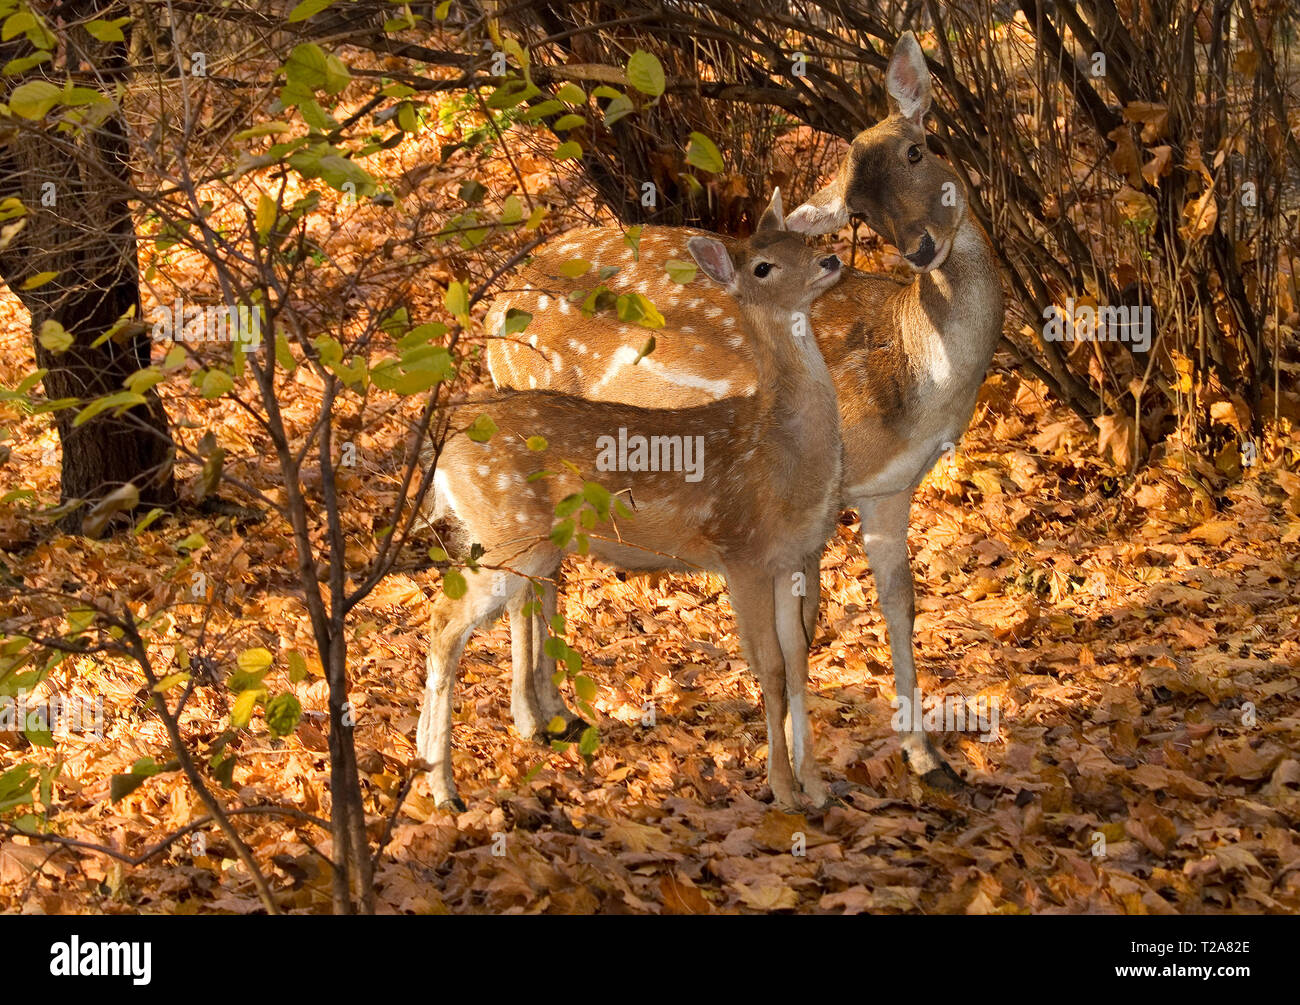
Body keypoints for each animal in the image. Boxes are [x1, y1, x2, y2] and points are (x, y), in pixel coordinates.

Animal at [418, 192, 842, 811]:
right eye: (763, 266)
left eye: (802, 241)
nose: (831, 261)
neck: (781, 453)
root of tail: (445, 458)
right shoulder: (741, 549)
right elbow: (767, 666)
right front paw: (783, 791)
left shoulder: (794, 556)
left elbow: (798, 660)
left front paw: (815, 784)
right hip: (509, 533)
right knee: (446, 623)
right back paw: (443, 787)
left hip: (522, 542)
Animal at [483, 31, 998, 790]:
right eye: (859, 208)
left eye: (918, 148)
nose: (923, 246)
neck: (916, 375)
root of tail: (490, 311)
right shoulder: (809, 503)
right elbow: (804, 631)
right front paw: (804, 776)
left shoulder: (889, 489)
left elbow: (901, 606)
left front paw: (928, 757)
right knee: (527, 579)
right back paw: (534, 719)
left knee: (542, 575)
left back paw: (554, 713)